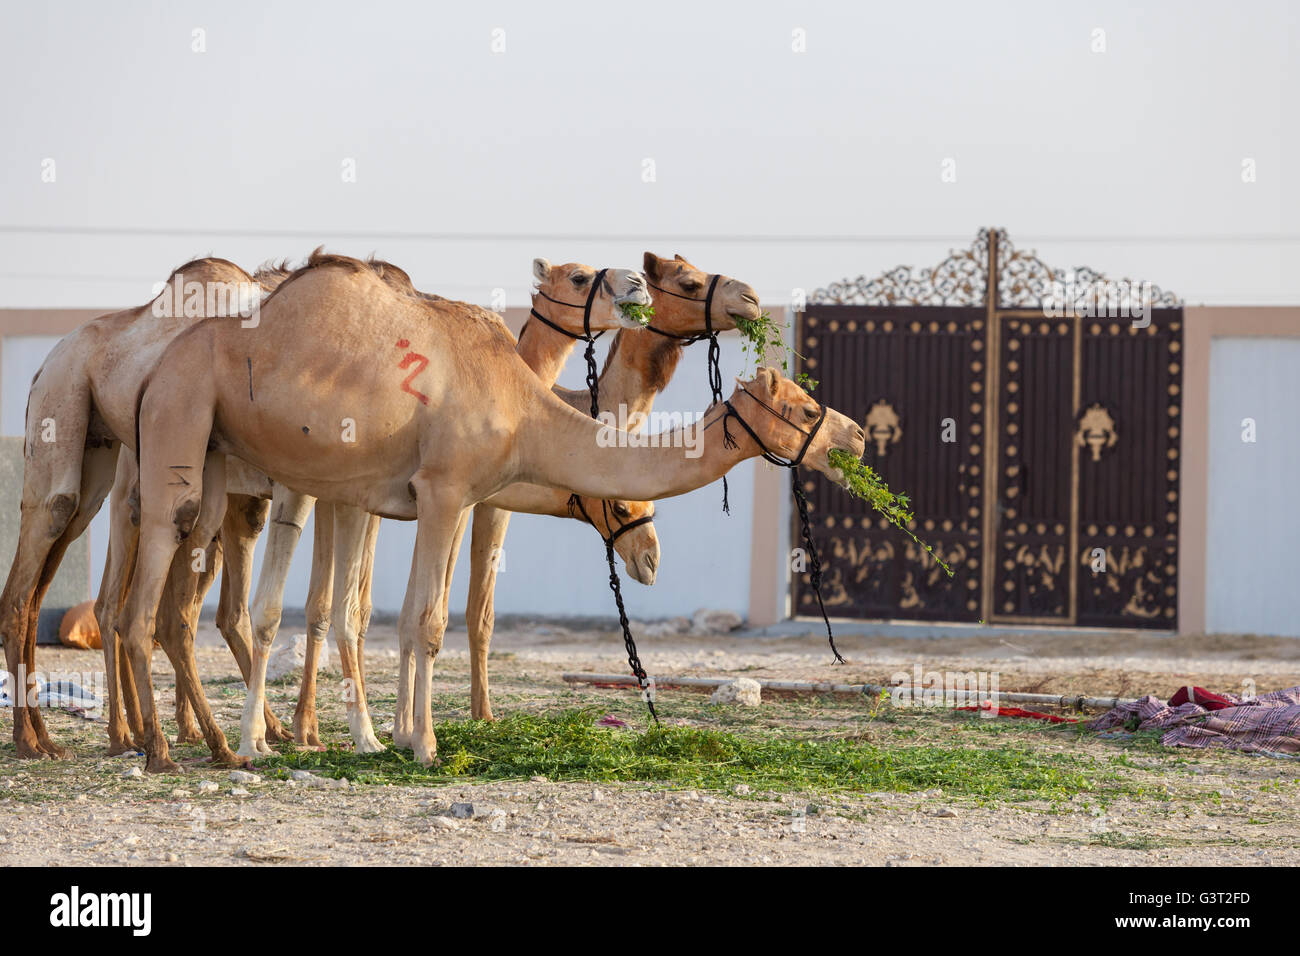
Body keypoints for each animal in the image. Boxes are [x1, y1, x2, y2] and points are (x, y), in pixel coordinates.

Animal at [120, 254, 866, 769]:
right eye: (804, 409)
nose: (856, 435)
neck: (530, 404)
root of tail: (155, 363)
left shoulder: (440, 497)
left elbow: (416, 616)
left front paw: (402, 737)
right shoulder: (448, 491)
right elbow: (427, 622)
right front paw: (426, 746)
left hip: (223, 461)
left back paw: (225, 740)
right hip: (182, 422)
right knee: (150, 584)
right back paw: (172, 747)